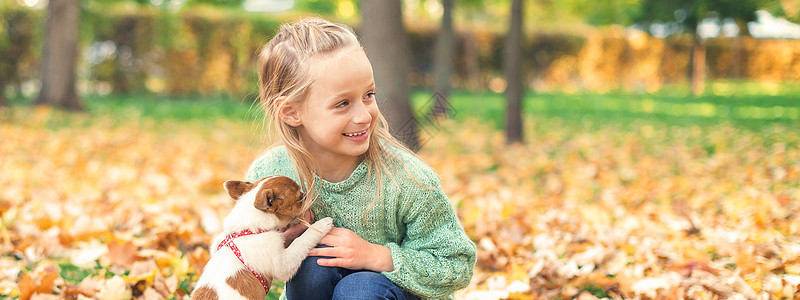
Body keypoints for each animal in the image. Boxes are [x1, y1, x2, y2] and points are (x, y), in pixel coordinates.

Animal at [191, 176, 332, 300]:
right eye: (300, 197)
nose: (308, 195)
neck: (246, 229)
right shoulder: (283, 265)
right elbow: (301, 241)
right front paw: (321, 225)